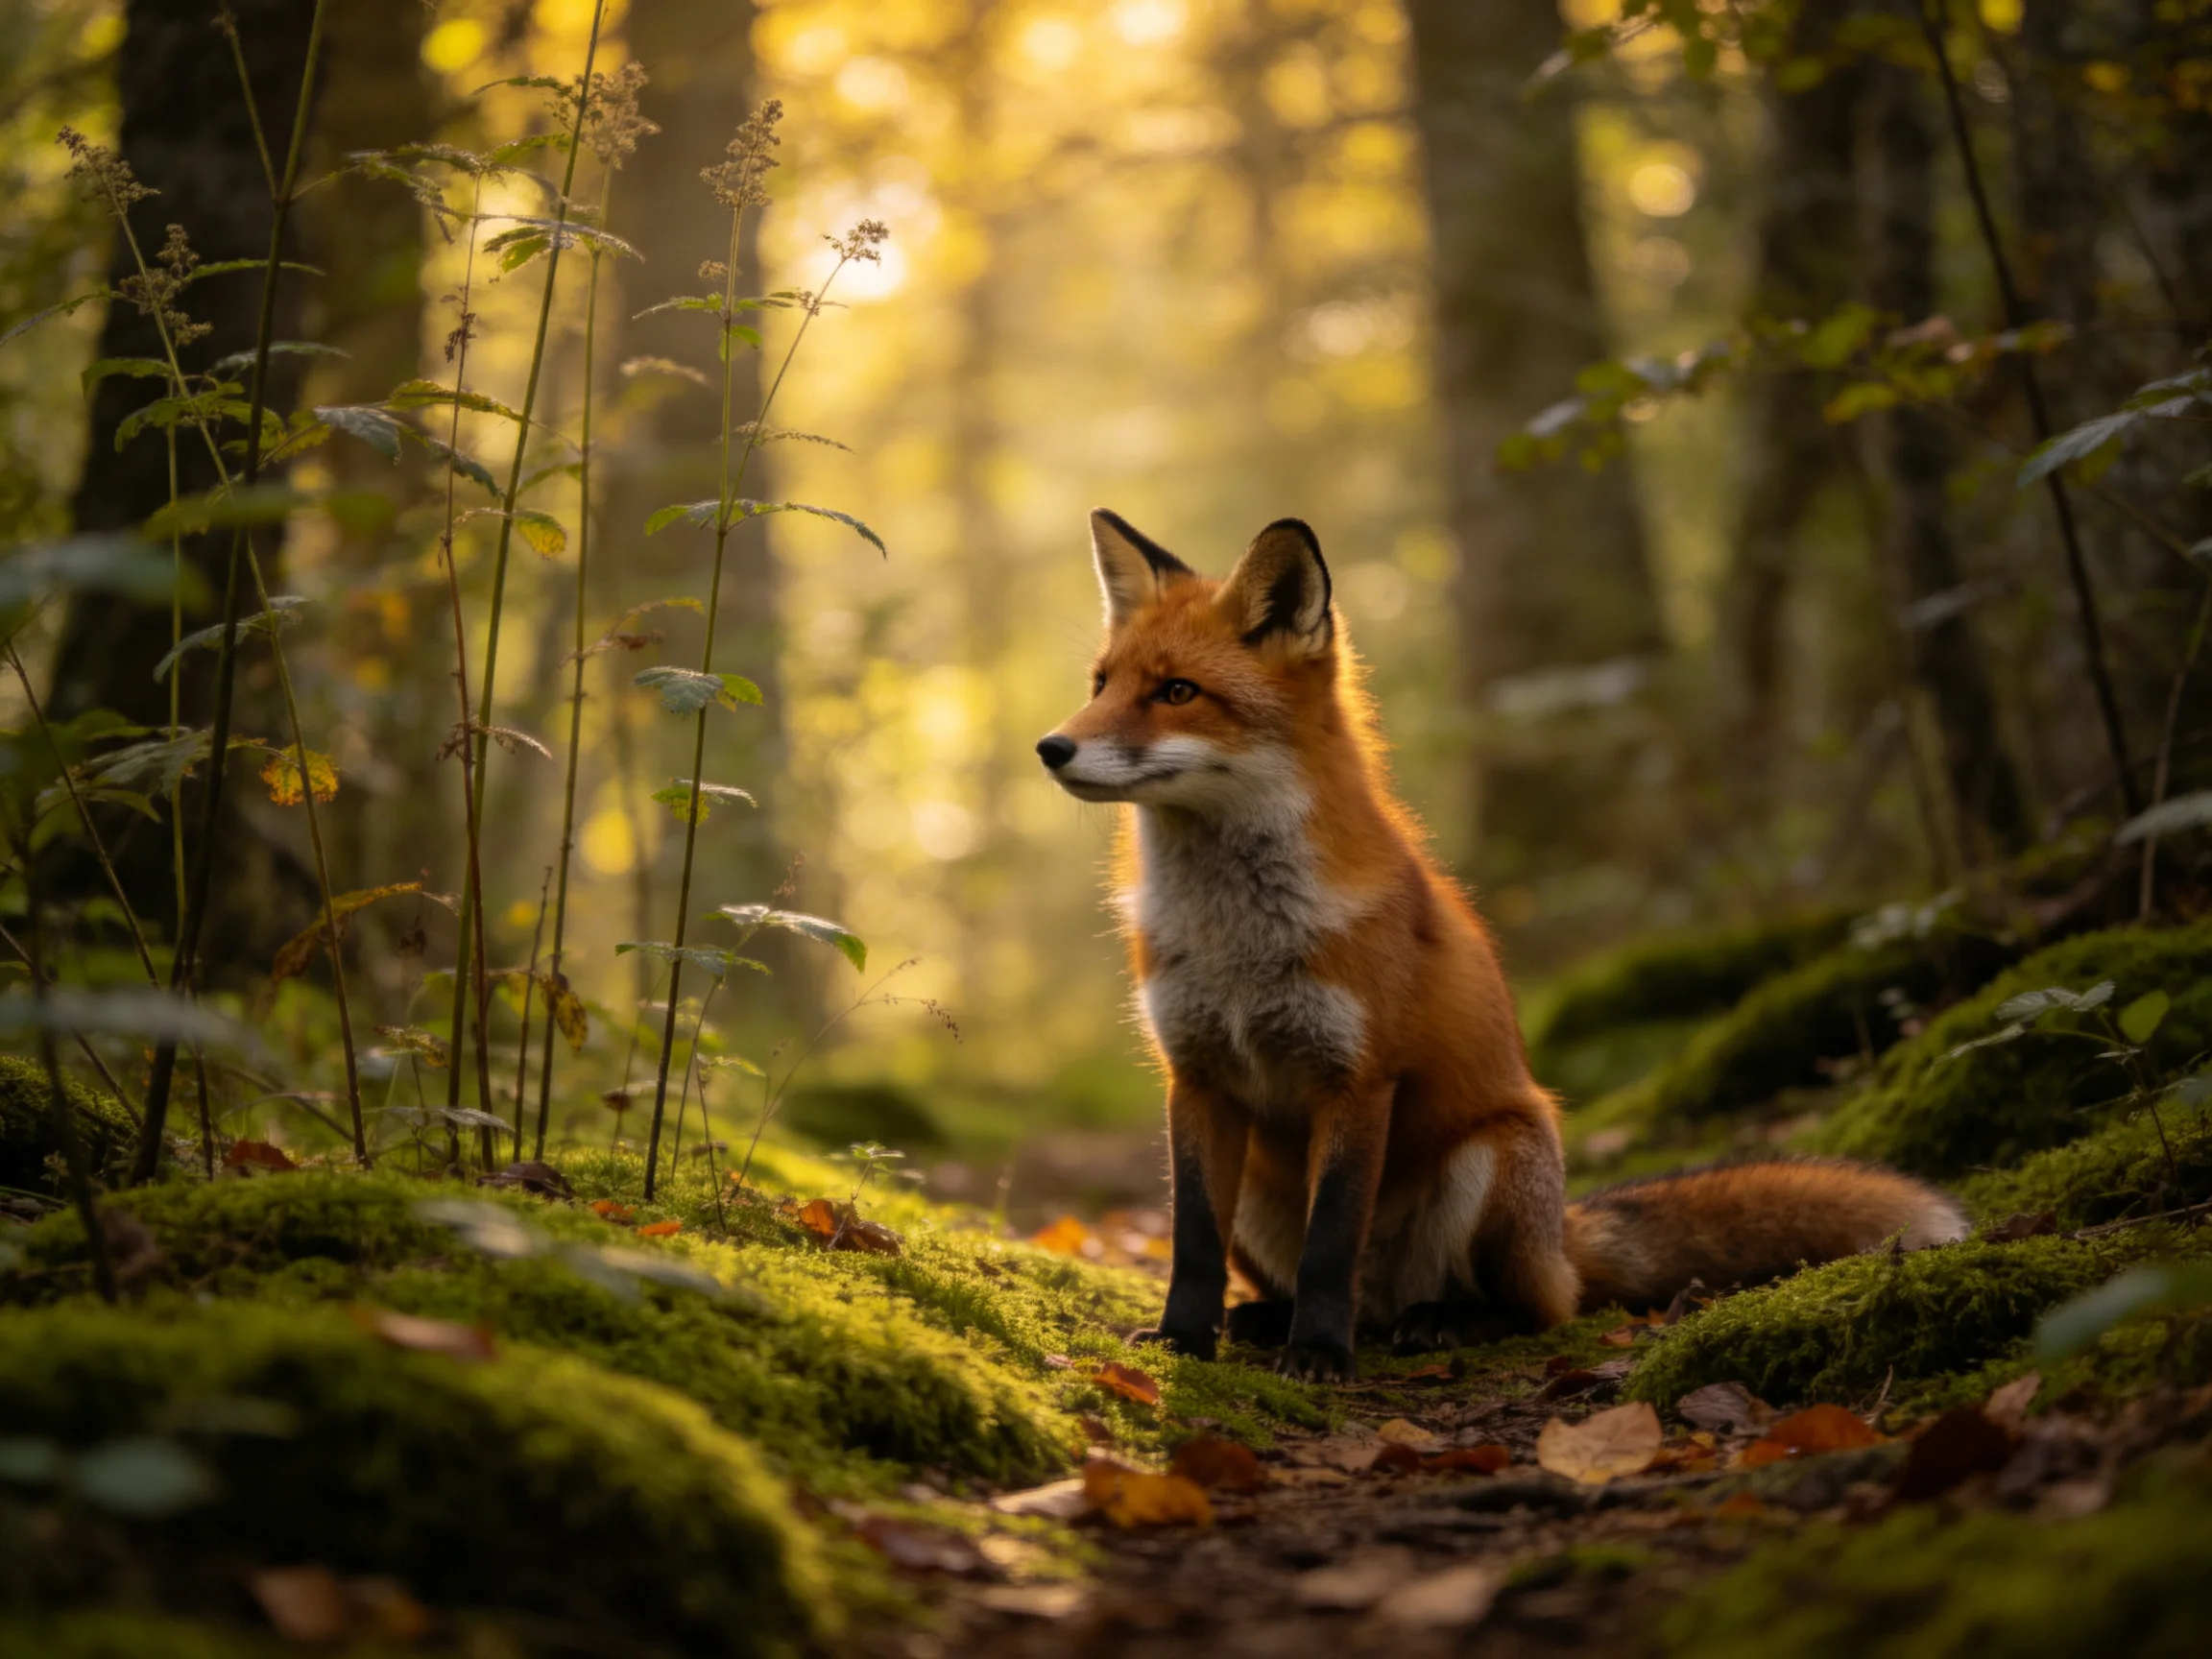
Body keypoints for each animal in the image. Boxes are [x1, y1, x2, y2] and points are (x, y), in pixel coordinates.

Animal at [1036, 509, 1969, 1380]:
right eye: (1101, 683)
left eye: (1177, 692)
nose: (1051, 746)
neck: (1237, 942)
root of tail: (1560, 1236)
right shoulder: (1196, 1076)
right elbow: (1193, 1241)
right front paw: (1181, 1343)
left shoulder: (1359, 1079)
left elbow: (1332, 1240)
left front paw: (1321, 1355)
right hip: (1268, 1198)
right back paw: (1267, 1320)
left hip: (1494, 1156)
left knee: (1534, 1308)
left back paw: (1434, 1323)